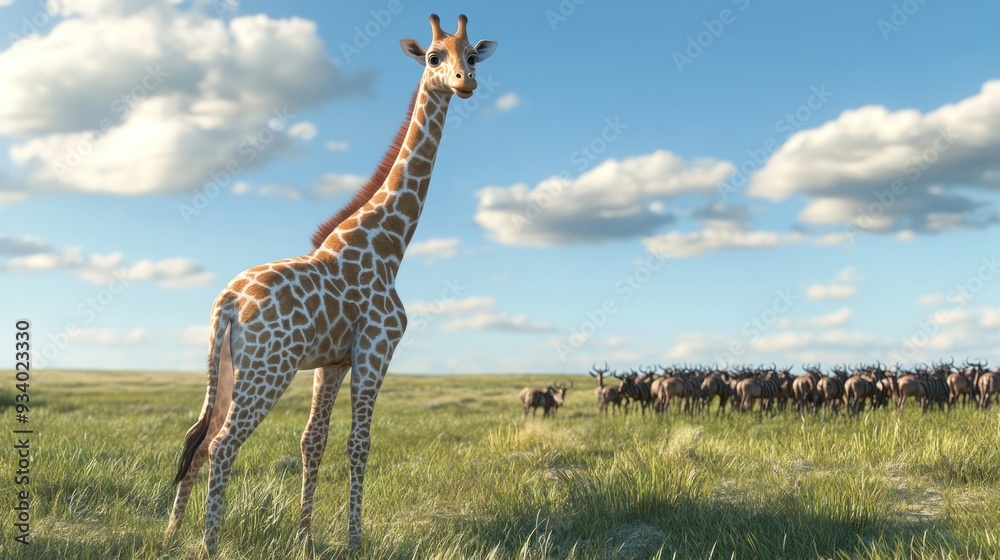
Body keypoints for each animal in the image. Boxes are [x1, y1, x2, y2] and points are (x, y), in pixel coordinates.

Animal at [164, 14, 497, 555]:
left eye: (471, 55)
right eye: (433, 57)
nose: (465, 83)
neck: (389, 244)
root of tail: (227, 301)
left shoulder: (333, 361)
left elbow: (312, 440)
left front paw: (305, 535)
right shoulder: (377, 348)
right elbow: (359, 444)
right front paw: (355, 540)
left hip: (227, 367)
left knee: (198, 438)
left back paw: (171, 536)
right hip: (268, 369)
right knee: (222, 443)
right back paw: (209, 544)